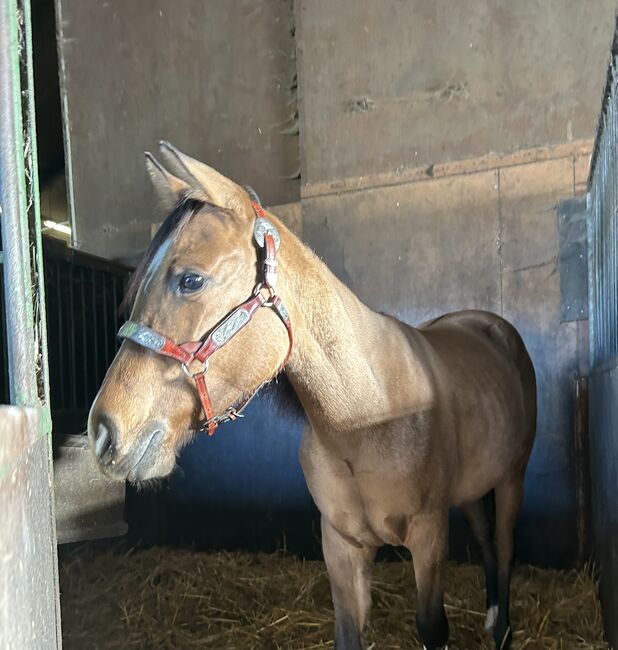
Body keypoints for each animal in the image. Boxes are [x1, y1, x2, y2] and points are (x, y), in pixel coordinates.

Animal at [88, 142, 536, 648]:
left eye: (190, 280)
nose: (104, 431)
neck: (364, 419)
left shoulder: (428, 535)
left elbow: (432, 626)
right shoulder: (340, 547)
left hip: (512, 478)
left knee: (503, 545)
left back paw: (502, 628)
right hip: (474, 489)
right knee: (486, 541)